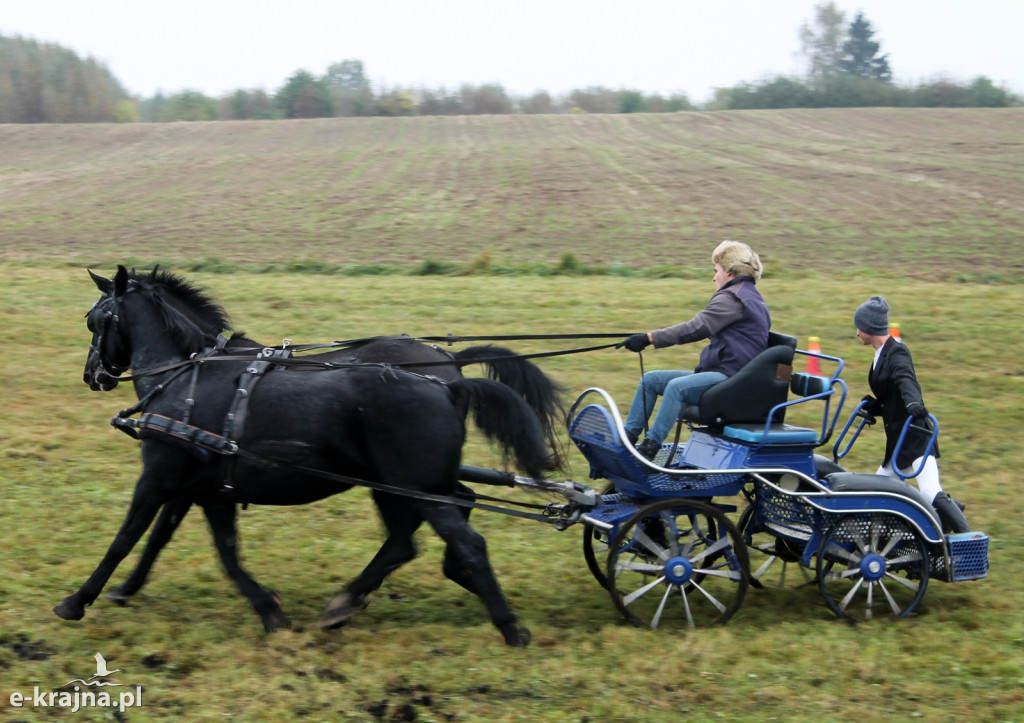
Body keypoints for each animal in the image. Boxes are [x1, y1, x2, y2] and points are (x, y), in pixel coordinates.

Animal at [52, 264, 557, 643]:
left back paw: (509, 627)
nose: (92, 375)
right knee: (420, 531)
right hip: (404, 485)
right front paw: (264, 608)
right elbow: (202, 546)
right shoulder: (203, 488)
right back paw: (357, 600)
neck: (186, 375)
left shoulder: (158, 477)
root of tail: (447, 378)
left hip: (411, 486)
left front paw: (77, 600)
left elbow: (126, 538)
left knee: (459, 539)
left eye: (94, 319)